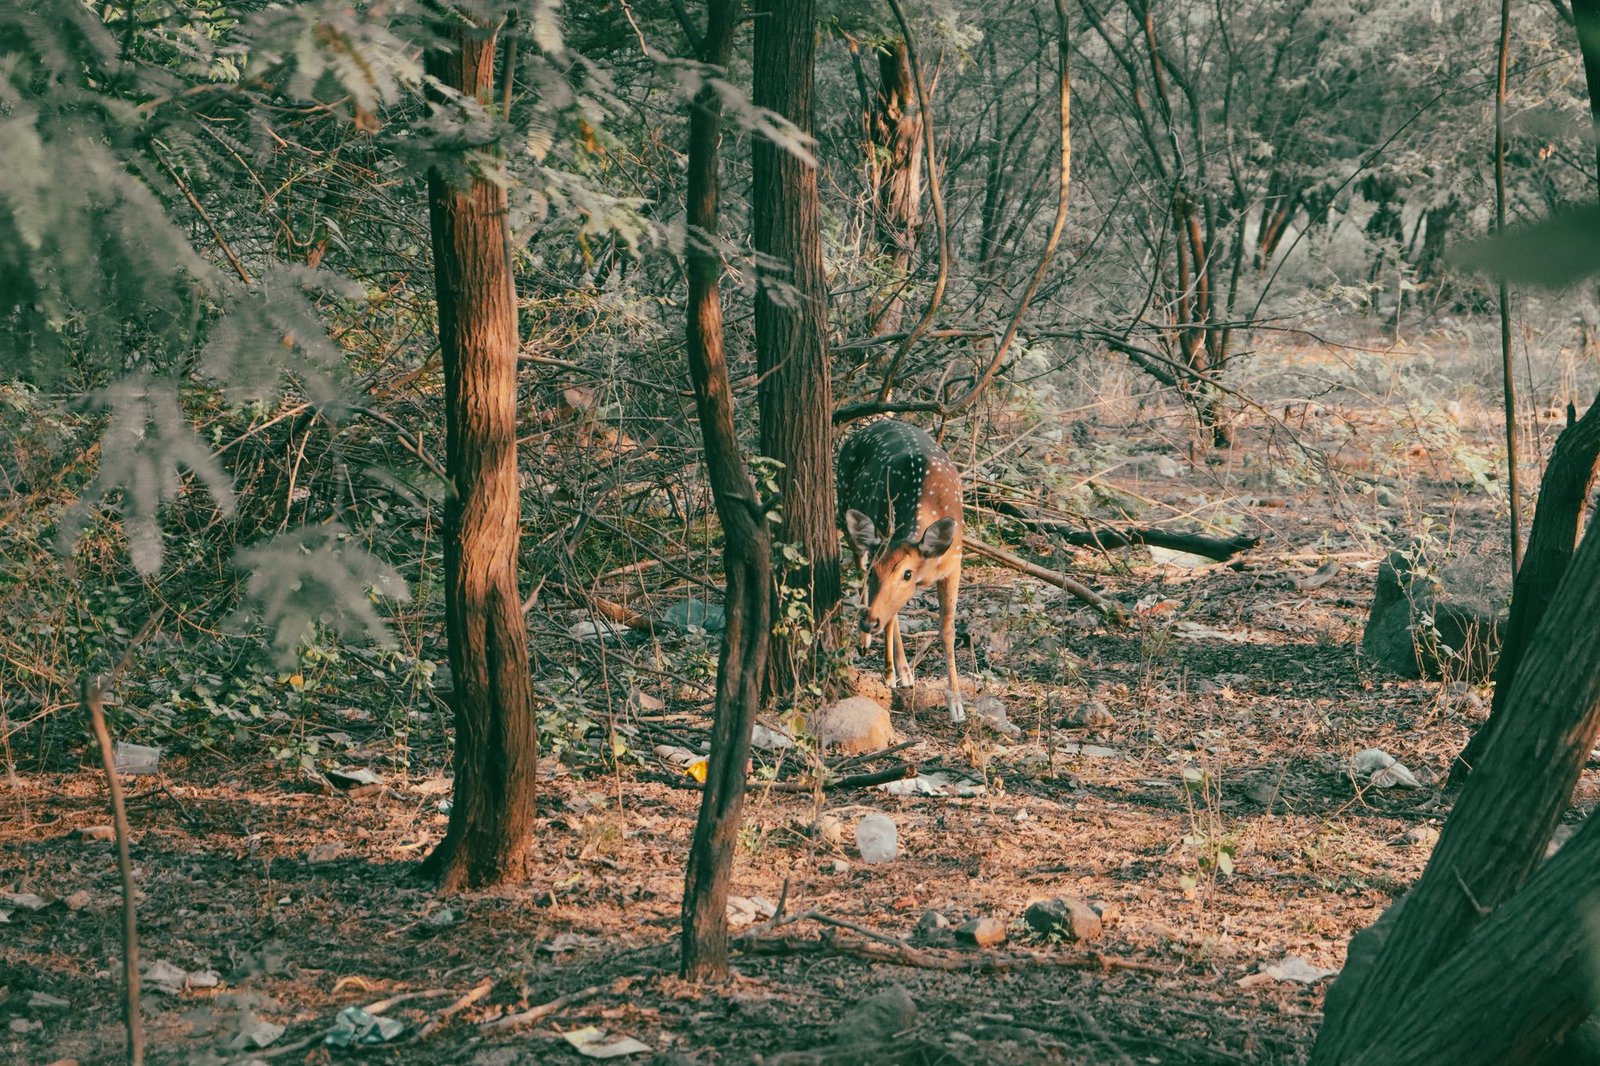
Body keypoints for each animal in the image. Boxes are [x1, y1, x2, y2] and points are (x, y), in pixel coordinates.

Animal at [836, 418, 966, 723]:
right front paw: (888, 673)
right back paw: (878, 652)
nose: (868, 622)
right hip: (845, 509)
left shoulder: (954, 563)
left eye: (907, 574)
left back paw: (903, 669)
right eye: (876, 570)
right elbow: (891, 614)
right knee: (860, 574)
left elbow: (947, 630)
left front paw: (957, 705)